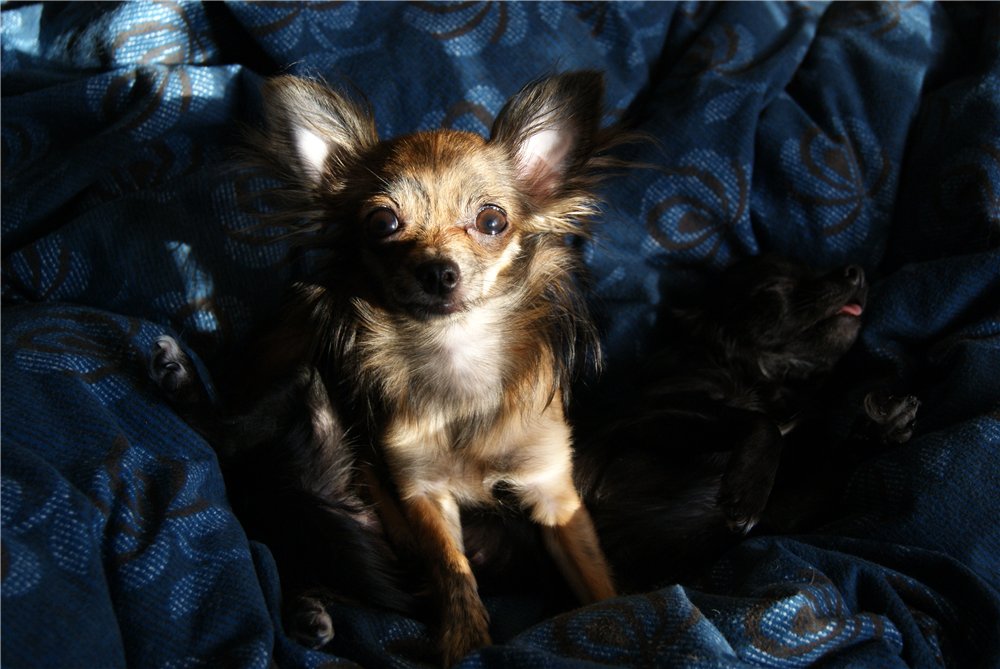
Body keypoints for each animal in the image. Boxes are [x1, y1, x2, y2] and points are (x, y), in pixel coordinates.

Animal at [151, 71, 622, 665]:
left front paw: (611, 617)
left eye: (492, 220)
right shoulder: (421, 491)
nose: (438, 271)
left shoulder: (552, 491)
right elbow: (453, 574)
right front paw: (467, 641)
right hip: (303, 389)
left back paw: (308, 613)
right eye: (383, 222)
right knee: (229, 444)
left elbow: (596, 582)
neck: (456, 356)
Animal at [572, 255, 920, 592]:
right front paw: (749, 487)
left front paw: (878, 430)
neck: (767, 377)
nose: (856, 272)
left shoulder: (778, 517)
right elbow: (762, 421)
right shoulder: (640, 419)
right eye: (776, 285)